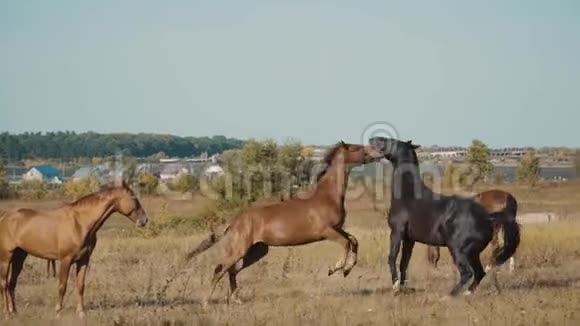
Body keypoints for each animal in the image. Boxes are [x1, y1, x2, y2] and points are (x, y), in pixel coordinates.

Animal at [0, 181, 147, 316]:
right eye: (134, 198)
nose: (144, 220)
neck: (80, 223)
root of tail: (5, 217)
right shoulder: (66, 260)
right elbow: (62, 286)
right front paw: (58, 310)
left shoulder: (83, 260)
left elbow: (80, 285)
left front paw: (81, 312)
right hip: (6, 259)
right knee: (4, 284)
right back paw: (7, 312)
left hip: (19, 257)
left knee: (12, 284)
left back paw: (14, 311)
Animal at [187, 140, 386, 306]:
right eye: (356, 148)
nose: (379, 151)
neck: (327, 198)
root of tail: (235, 221)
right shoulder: (326, 231)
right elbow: (346, 243)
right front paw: (335, 269)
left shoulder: (338, 229)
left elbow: (354, 241)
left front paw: (347, 270)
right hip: (240, 249)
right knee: (220, 269)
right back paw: (206, 302)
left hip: (257, 251)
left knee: (232, 271)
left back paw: (237, 300)